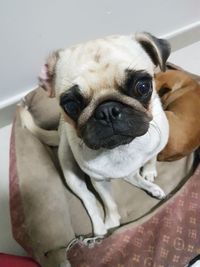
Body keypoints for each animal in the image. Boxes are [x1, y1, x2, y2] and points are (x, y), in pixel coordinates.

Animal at [19, 31, 170, 241]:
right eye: (71, 105)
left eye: (142, 86)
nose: (107, 111)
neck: (122, 148)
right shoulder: (98, 181)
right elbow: (109, 202)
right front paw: (111, 223)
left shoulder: (157, 145)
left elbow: (151, 159)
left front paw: (149, 172)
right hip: (70, 170)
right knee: (90, 200)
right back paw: (98, 233)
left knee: (132, 177)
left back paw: (152, 188)